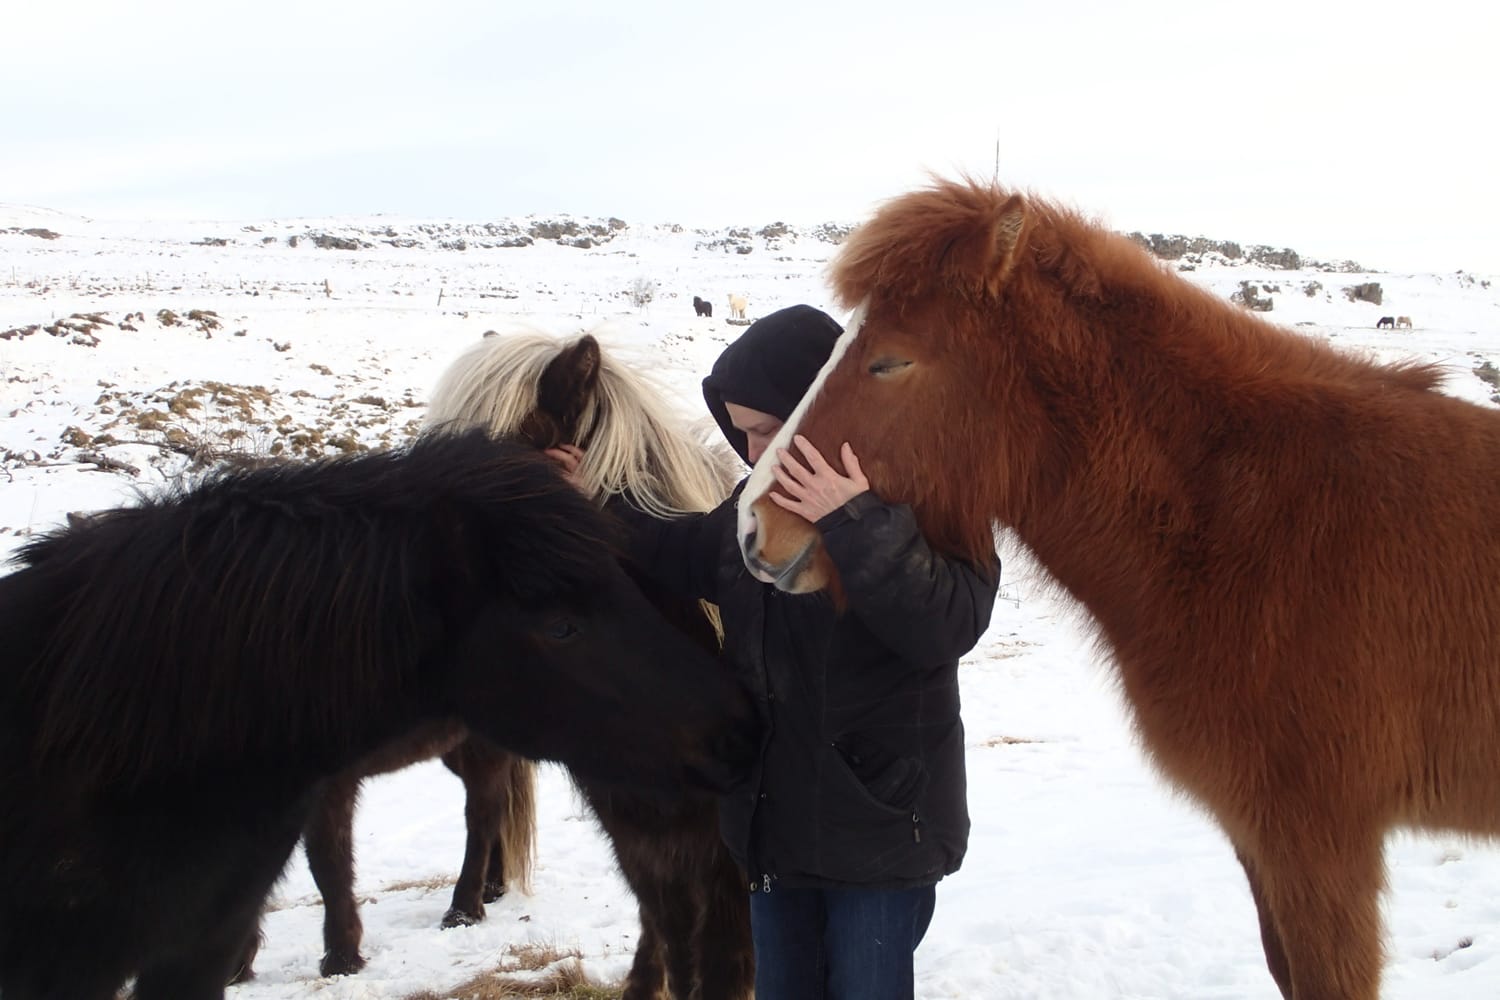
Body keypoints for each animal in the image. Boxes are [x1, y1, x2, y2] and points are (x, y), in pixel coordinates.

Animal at [0, 430, 756, 1000]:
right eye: (561, 625)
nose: (739, 728)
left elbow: (329, 864)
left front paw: (338, 955)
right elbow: (327, 862)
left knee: (486, 813)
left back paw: (466, 905)